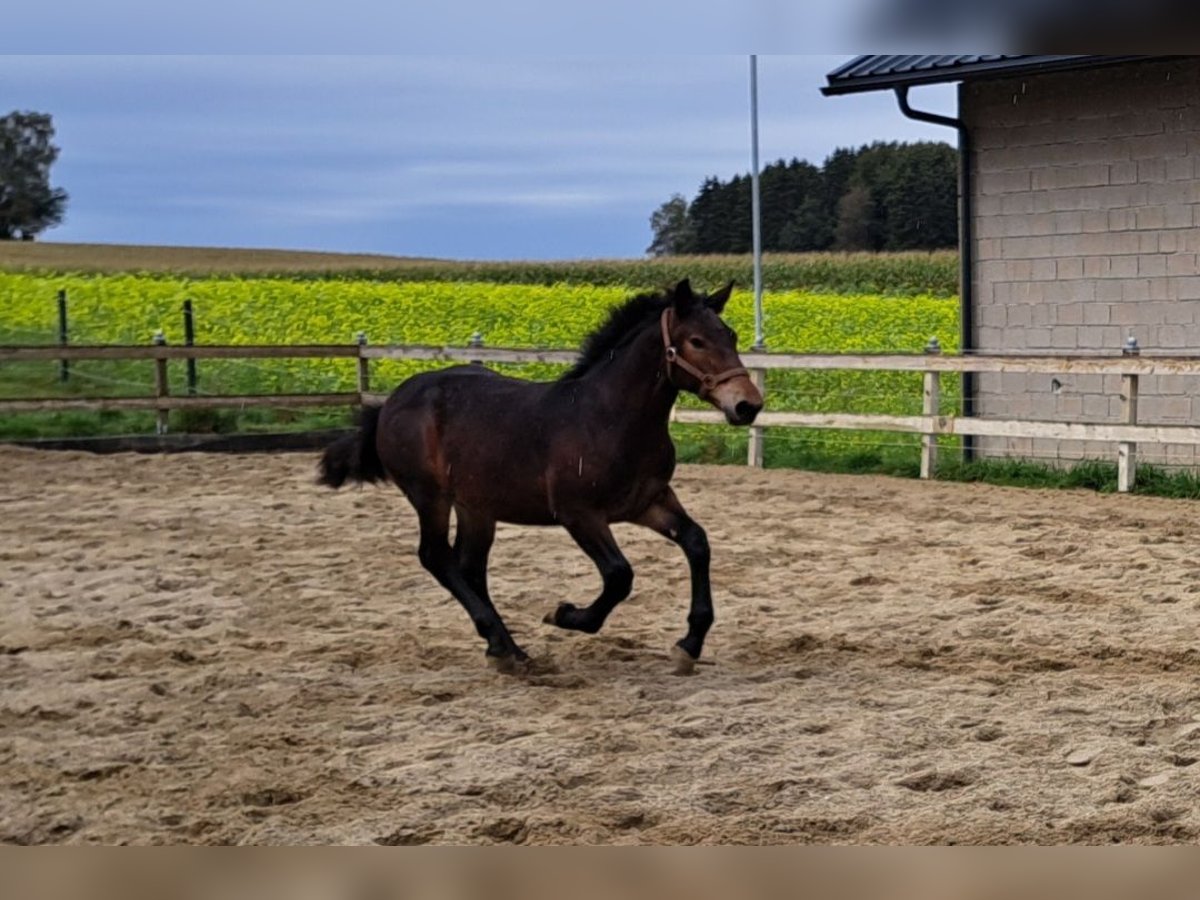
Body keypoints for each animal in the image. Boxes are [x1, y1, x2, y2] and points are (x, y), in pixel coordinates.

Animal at [321, 282, 758, 676]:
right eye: (697, 341)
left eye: (732, 336)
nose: (748, 405)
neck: (609, 418)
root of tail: (392, 402)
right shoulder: (578, 514)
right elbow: (620, 575)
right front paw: (564, 615)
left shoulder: (649, 501)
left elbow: (697, 543)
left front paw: (689, 646)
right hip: (429, 496)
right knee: (436, 557)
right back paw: (504, 646)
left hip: (475, 505)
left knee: (469, 566)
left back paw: (506, 649)